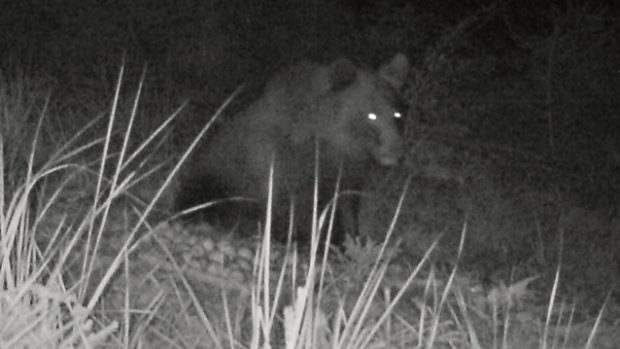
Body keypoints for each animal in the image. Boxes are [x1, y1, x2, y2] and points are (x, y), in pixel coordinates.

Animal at [174, 53, 410, 245]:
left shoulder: (350, 170)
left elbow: (347, 203)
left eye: (397, 114)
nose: (396, 151)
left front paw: (351, 240)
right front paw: (310, 240)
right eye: (372, 115)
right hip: (212, 178)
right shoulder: (285, 164)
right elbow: (294, 206)